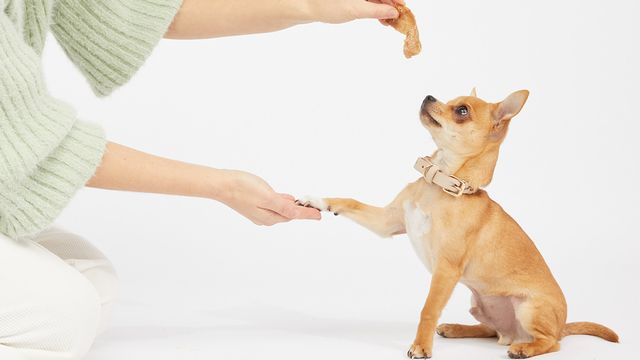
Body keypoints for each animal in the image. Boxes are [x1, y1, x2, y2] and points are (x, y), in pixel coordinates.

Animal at [300, 89, 620, 358]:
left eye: (462, 111)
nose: (429, 95)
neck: (438, 183)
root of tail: (561, 325)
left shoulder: (445, 270)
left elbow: (428, 309)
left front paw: (421, 346)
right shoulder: (386, 223)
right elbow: (350, 201)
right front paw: (316, 200)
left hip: (530, 309)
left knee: (551, 342)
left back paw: (523, 348)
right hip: (480, 306)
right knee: (492, 330)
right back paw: (457, 329)